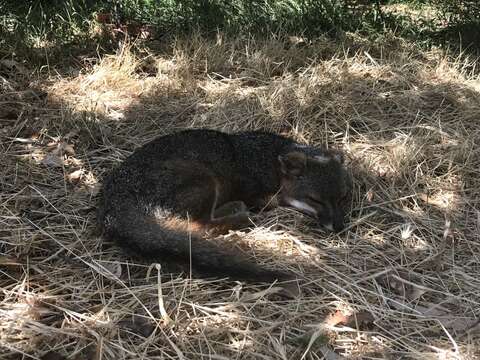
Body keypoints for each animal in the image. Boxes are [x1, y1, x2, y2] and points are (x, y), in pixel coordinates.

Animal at [97, 128, 350, 292]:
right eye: (316, 200)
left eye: (342, 198)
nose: (338, 226)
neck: (266, 160)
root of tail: (113, 200)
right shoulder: (255, 193)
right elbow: (271, 201)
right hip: (204, 178)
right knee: (201, 225)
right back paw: (240, 215)